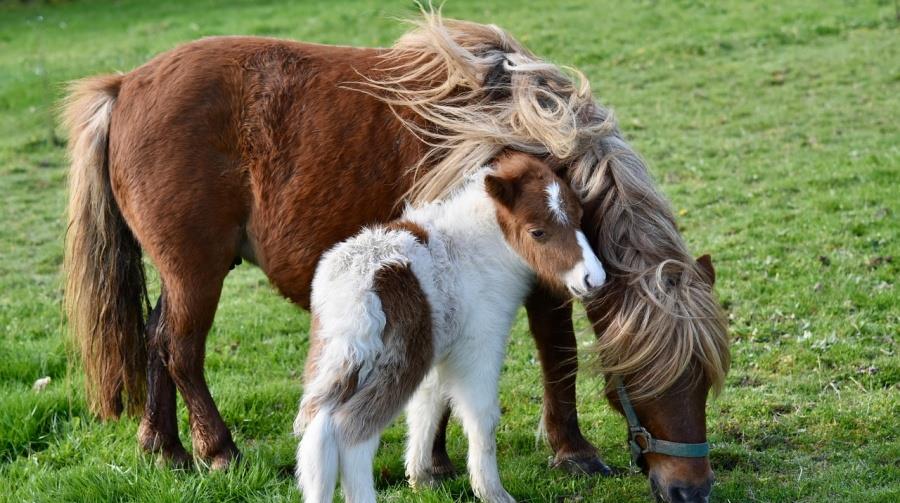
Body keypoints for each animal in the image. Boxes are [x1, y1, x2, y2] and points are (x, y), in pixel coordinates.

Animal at [293, 153, 605, 503]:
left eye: (579, 217)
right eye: (537, 232)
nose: (593, 278)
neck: (471, 252)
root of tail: (357, 288)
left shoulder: (439, 355)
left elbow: (427, 407)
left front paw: (421, 477)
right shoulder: (480, 344)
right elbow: (482, 416)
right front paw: (492, 492)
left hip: (337, 357)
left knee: (319, 430)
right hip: (398, 363)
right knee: (351, 432)